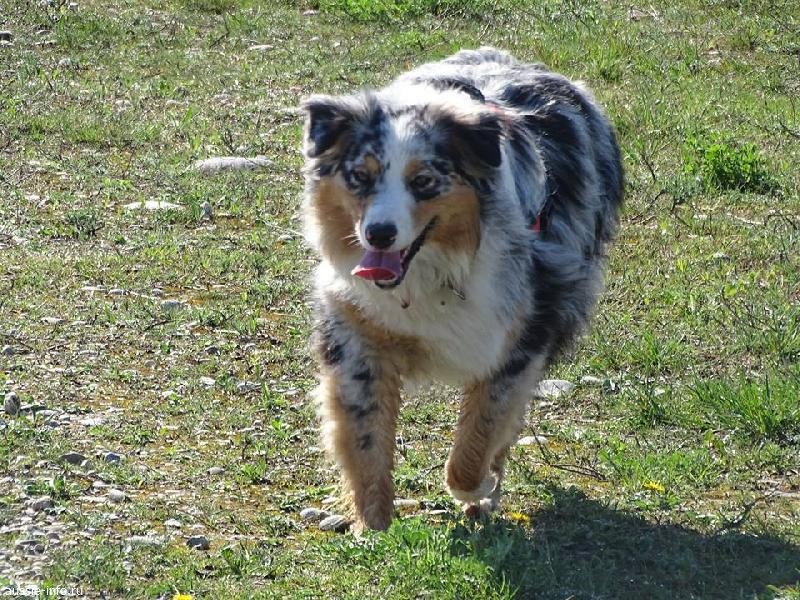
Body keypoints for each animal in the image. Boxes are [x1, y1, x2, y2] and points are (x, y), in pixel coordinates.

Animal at [301, 47, 623, 531]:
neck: (431, 271)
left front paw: (478, 487)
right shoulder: (356, 330)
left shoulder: (520, 335)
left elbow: (480, 435)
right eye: (360, 176)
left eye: (424, 182)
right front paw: (372, 524)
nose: (378, 234)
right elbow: (363, 435)